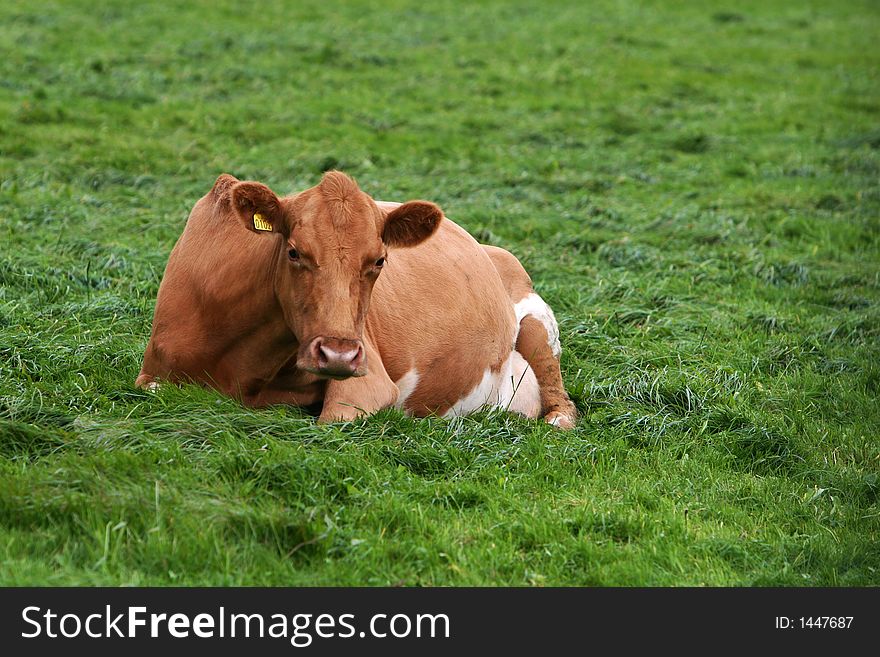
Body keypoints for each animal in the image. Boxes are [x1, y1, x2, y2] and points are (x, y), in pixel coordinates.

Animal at [138, 169, 576, 428]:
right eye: (294, 252)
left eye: (379, 260)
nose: (339, 354)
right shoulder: (153, 373)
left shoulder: (369, 383)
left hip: (537, 324)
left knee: (561, 400)